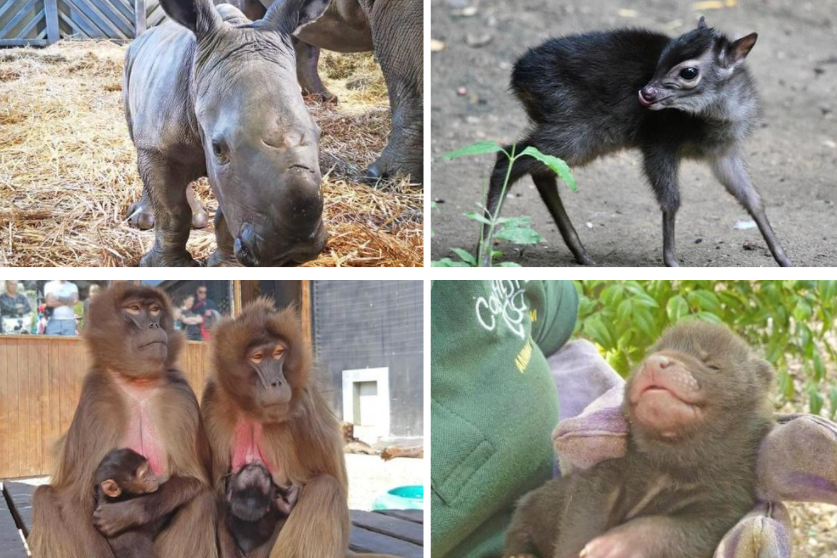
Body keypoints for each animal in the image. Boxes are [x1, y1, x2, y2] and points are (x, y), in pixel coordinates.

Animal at [29, 284, 217, 558]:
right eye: (135, 309)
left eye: (155, 309)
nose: (153, 324)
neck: (137, 382)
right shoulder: (96, 401)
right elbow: (74, 498)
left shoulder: (180, 397)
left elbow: (194, 480)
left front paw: (126, 514)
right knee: (45, 497)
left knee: (203, 501)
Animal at [204, 302, 352, 558]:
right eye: (257, 357)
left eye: (278, 353)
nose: (276, 382)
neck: (254, 412)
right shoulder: (212, 400)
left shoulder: (306, 406)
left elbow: (335, 485)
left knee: (326, 489)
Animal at [500, 322, 772, 558]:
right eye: (653, 352)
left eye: (713, 365)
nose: (655, 363)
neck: (668, 463)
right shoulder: (611, 469)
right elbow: (583, 513)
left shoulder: (726, 498)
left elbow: (687, 532)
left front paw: (612, 546)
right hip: (535, 504)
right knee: (520, 523)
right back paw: (520, 554)